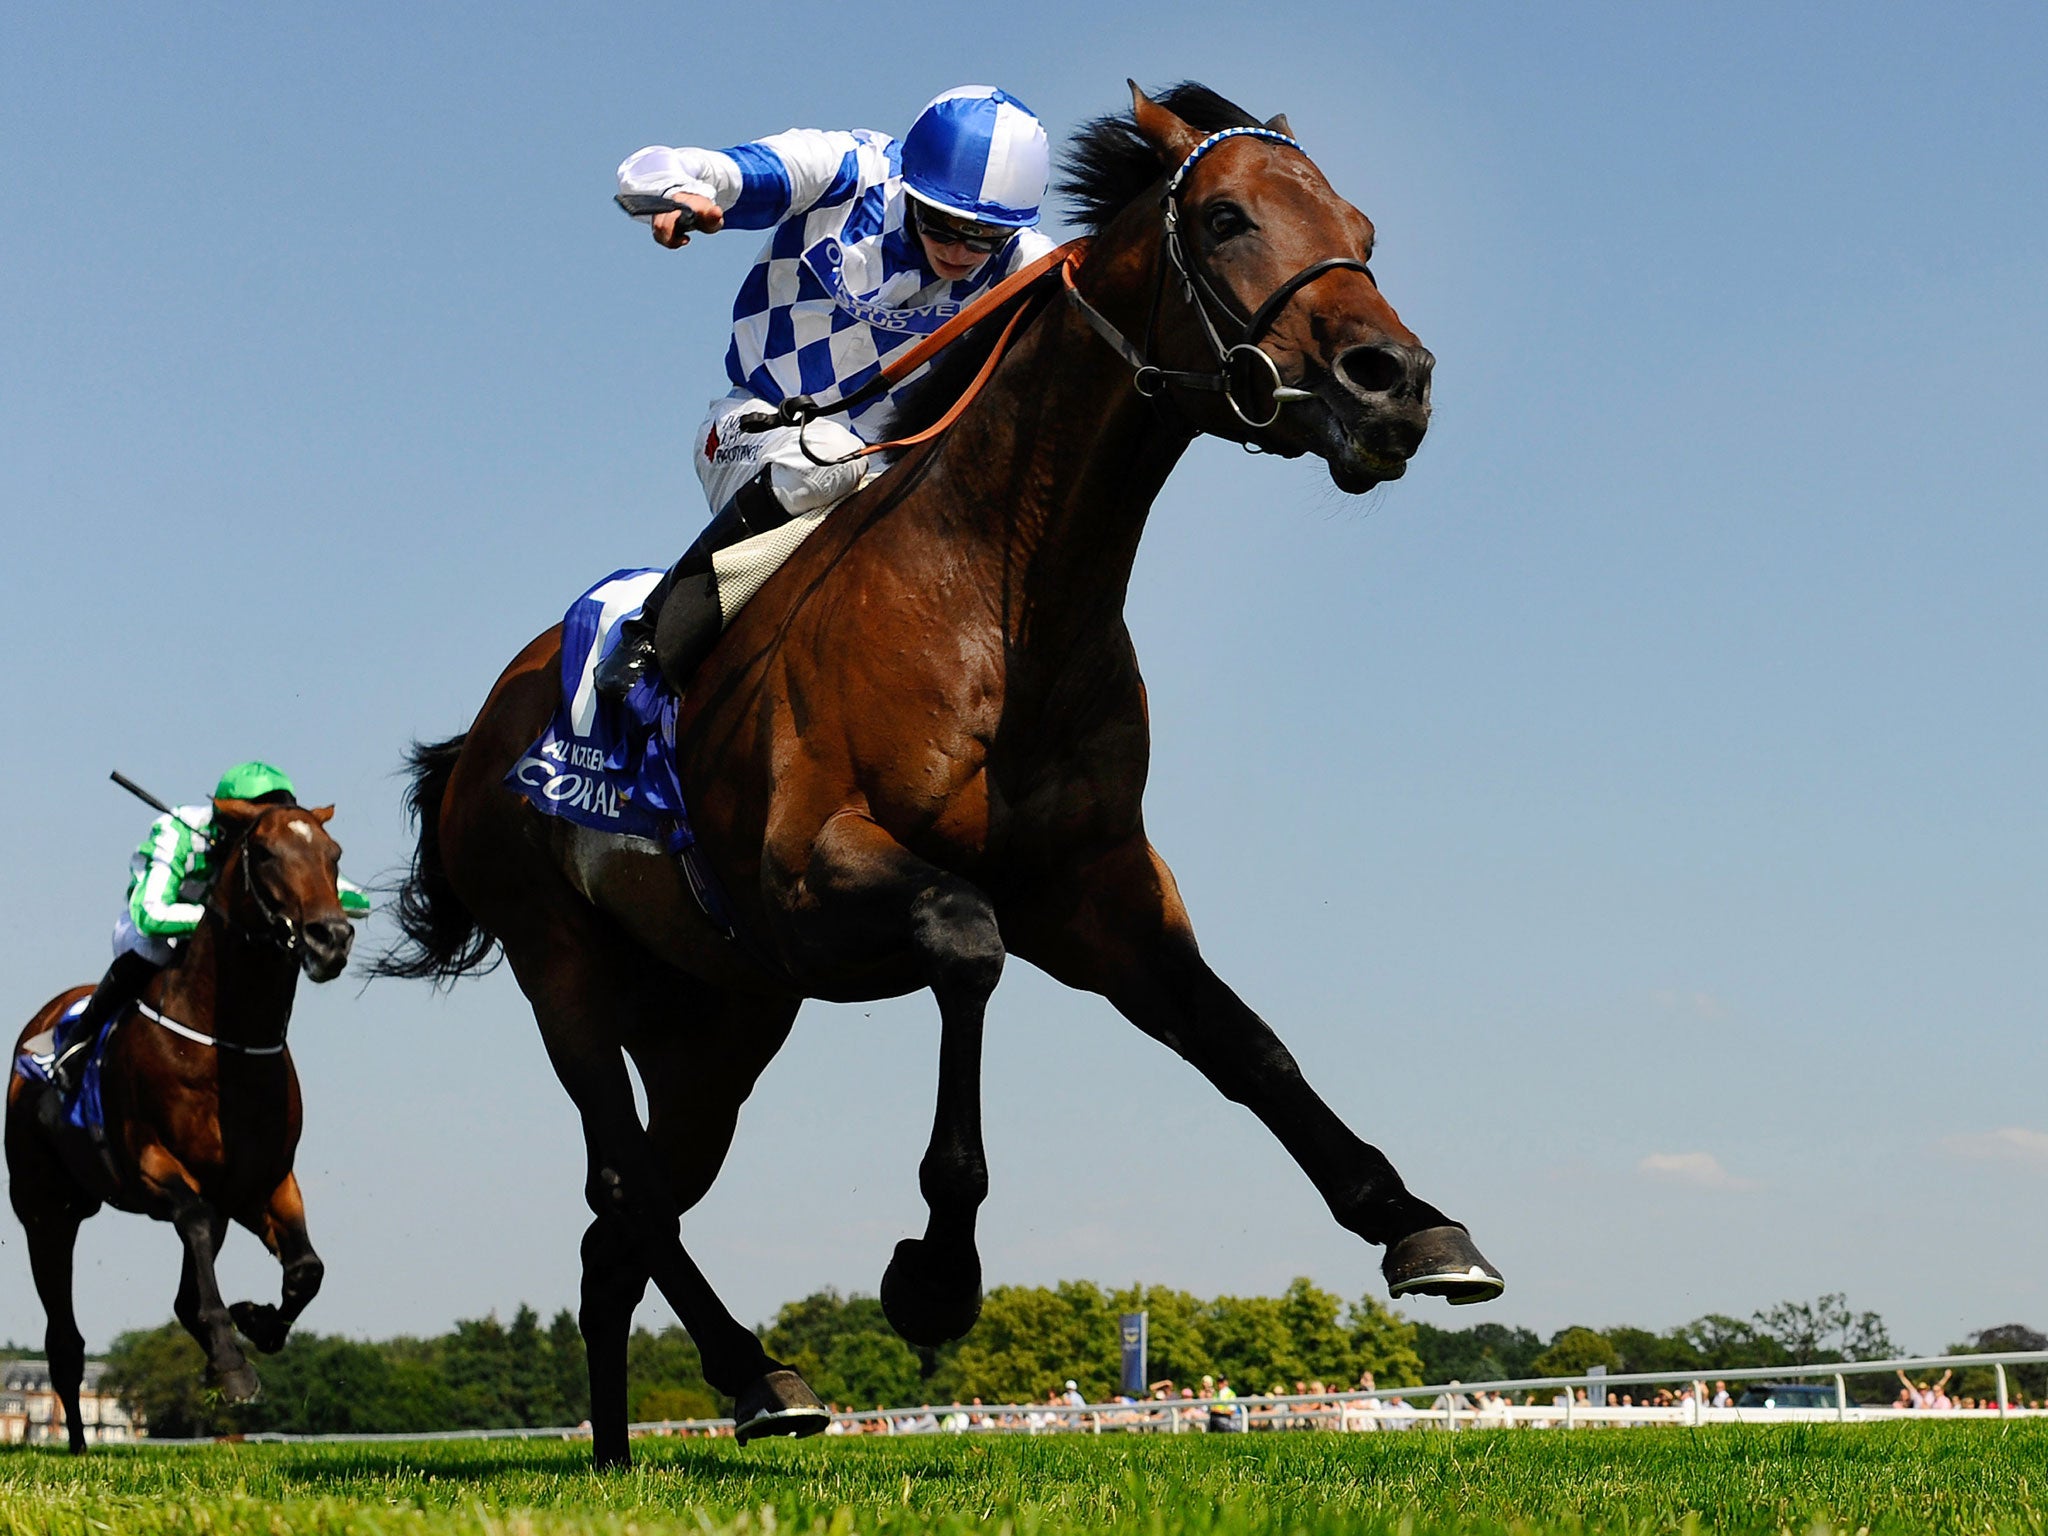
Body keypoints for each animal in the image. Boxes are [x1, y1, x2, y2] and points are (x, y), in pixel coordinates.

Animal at [8, 798, 356, 1449]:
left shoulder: (262, 1182)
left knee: (183, 1291)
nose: (332, 937)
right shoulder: (154, 1168)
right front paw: (232, 1361)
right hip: (45, 1211)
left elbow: (306, 1268)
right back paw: (77, 1445)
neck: (227, 1044)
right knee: (64, 1339)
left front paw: (255, 1324)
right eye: (264, 853)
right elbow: (192, 1230)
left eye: (334, 855)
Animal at [380, 81, 1507, 1466]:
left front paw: (1414, 1223)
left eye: (1360, 230)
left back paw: (628, 1443)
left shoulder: (1097, 891)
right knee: (622, 1182)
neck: (1002, 595)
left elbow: (1247, 1044)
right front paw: (933, 1270)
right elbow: (967, 945)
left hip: (719, 1022)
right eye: (1228, 217)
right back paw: (754, 1377)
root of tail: (478, 737)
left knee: (621, 1225)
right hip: (564, 965)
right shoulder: (811, 877)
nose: (1391, 383)